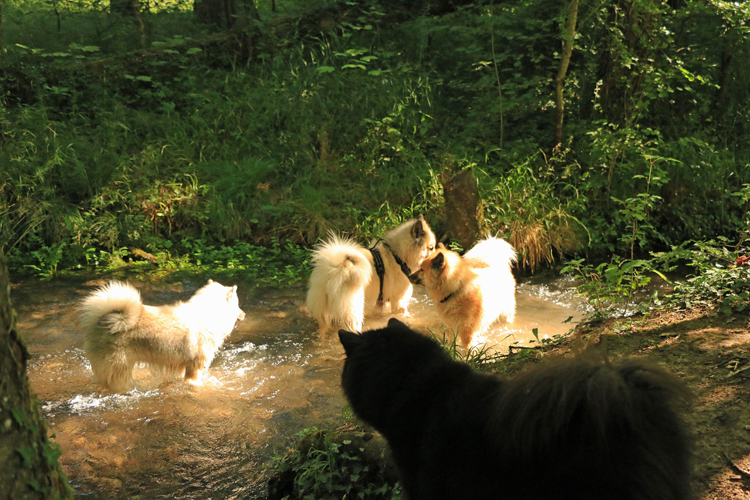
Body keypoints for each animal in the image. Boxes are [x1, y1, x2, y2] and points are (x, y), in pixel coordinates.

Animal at [79, 280, 245, 392]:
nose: (244, 314)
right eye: (238, 305)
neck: (208, 313)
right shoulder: (196, 366)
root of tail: (104, 321)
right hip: (119, 368)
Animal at [304, 217, 434, 334]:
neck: (397, 257)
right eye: (431, 248)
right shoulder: (399, 302)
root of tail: (333, 270)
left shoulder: (381, 301)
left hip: (323, 315)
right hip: (353, 313)